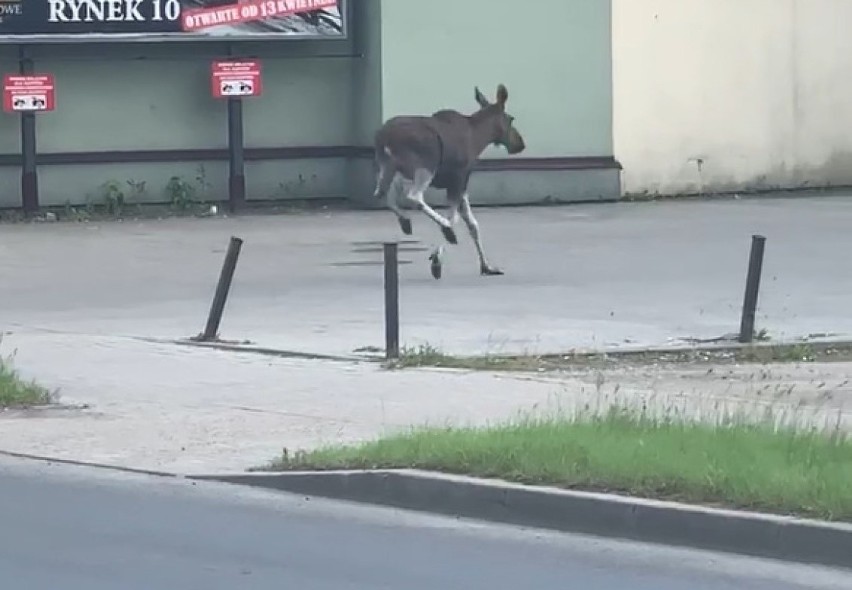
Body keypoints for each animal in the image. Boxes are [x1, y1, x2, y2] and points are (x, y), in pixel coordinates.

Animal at [372, 83, 524, 280]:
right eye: (511, 119)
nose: (520, 144)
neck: (478, 138)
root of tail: (382, 137)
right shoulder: (459, 179)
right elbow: (454, 219)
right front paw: (439, 255)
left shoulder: (460, 185)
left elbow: (472, 224)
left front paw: (487, 266)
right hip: (425, 165)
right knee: (414, 196)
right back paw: (438, 227)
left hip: (391, 168)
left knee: (382, 193)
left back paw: (405, 220)